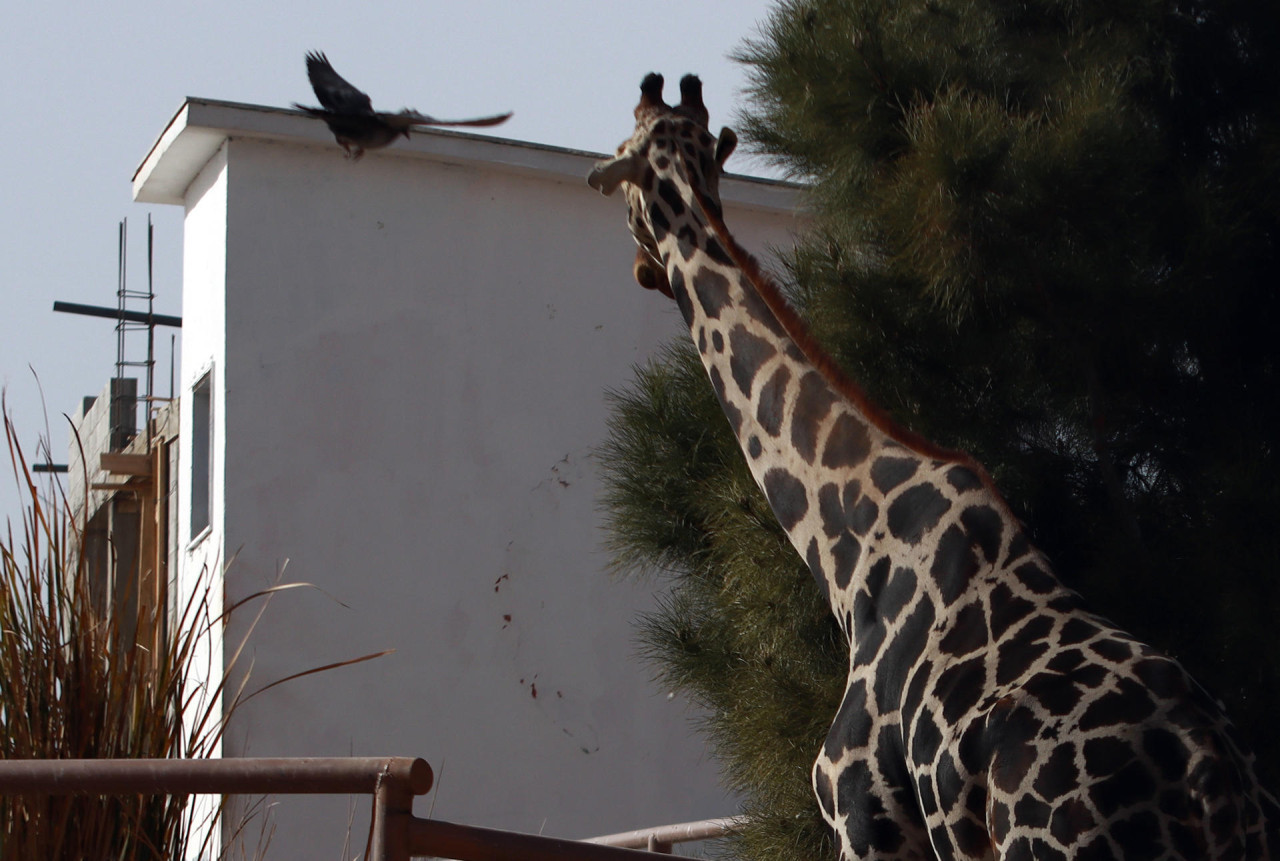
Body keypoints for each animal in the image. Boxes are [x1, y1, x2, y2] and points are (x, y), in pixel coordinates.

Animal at [586, 73, 1280, 859]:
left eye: (621, 167)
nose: (643, 268)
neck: (846, 552)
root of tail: (1209, 775)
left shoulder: (864, 818)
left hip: (1057, 846)